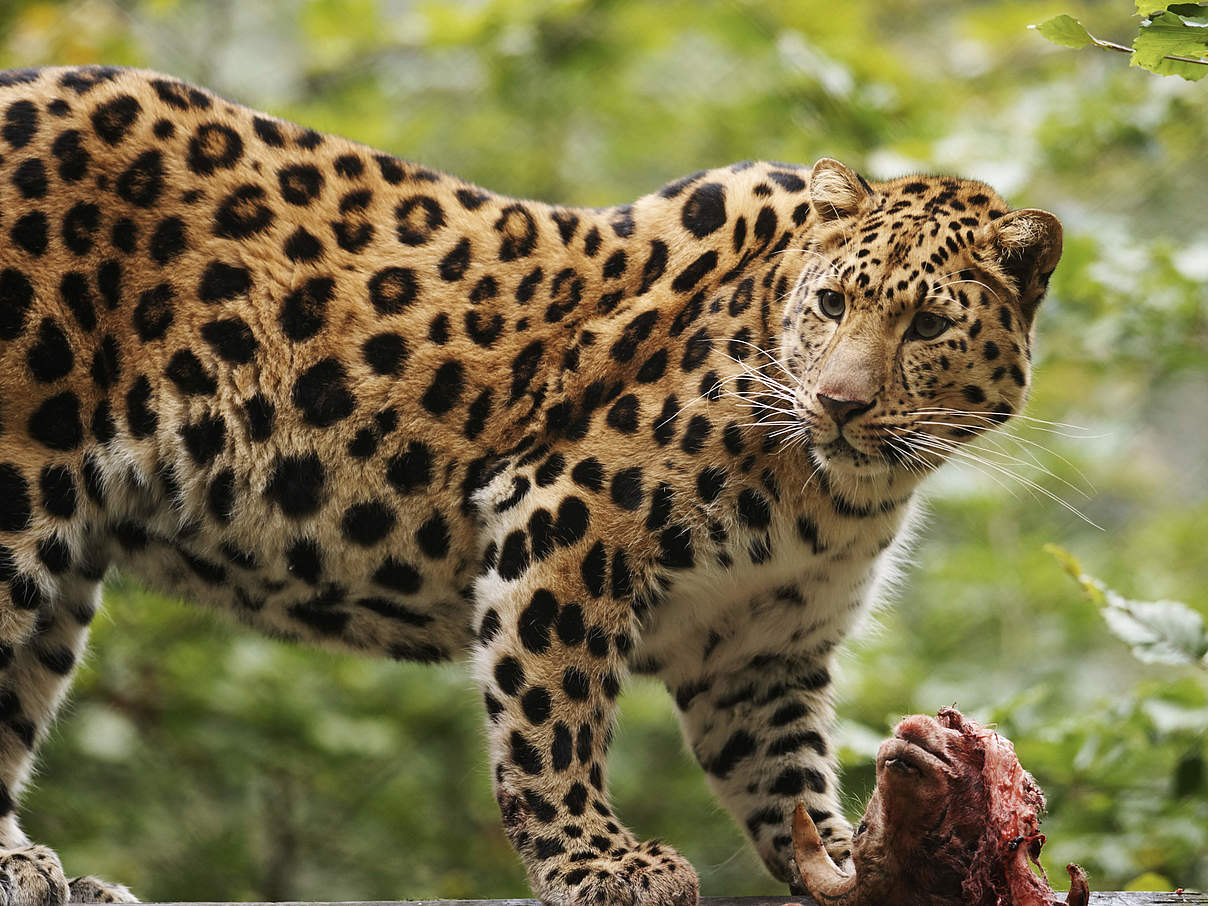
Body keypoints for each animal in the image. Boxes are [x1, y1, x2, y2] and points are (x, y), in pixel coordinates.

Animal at [0, 65, 1058, 906]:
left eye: (927, 326)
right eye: (834, 304)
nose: (837, 403)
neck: (836, 495)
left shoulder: (761, 649)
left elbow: (783, 773)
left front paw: (856, 858)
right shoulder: (566, 512)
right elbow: (552, 714)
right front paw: (599, 866)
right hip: (18, 489)